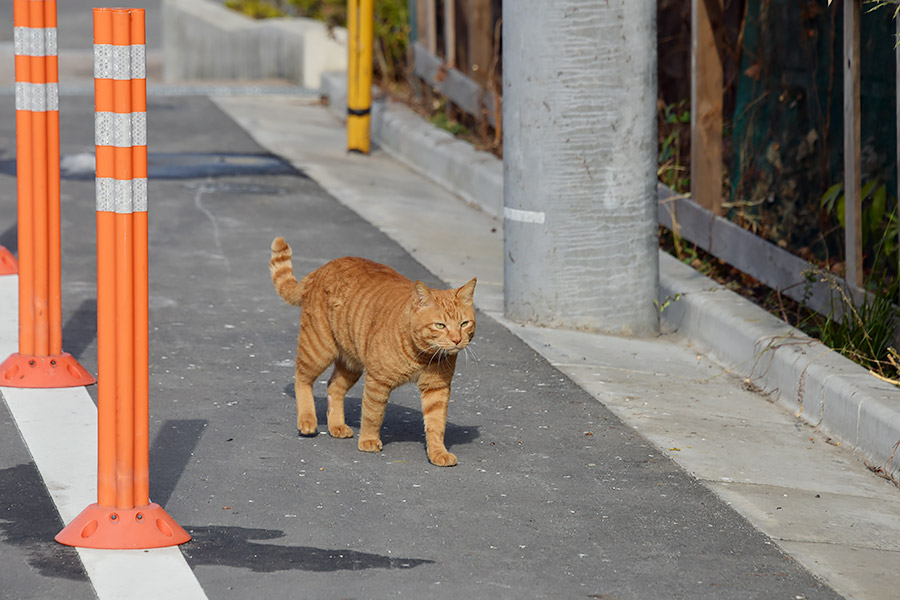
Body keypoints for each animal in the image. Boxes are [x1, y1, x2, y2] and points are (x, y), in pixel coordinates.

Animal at [268, 237, 474, 466]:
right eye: (440, 325)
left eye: (464, 324)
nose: (456, 339)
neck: (422, 356)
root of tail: (322, 268)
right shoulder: (377, 382)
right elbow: (373, 414)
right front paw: (368, 440)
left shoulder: (436, 388)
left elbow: (436, 425)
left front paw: (438, 452)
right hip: (318, 350)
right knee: (301, 379)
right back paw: (307, 420)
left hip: (351, 364)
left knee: (333, 387)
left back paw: (336, 425)